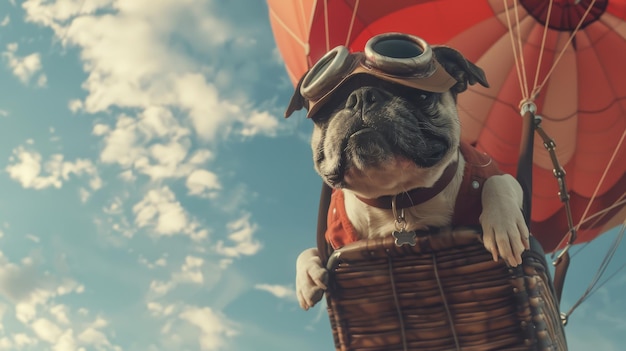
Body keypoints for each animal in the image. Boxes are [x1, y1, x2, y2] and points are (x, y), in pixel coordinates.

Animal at [284, 38, 528, 310]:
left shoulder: (493, 171)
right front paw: (307, 273)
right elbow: (309, 251)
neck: (397, 197)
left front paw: (503, 226)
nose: (361, 96)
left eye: (421, 95)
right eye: (326, 110)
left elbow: (498, 181)